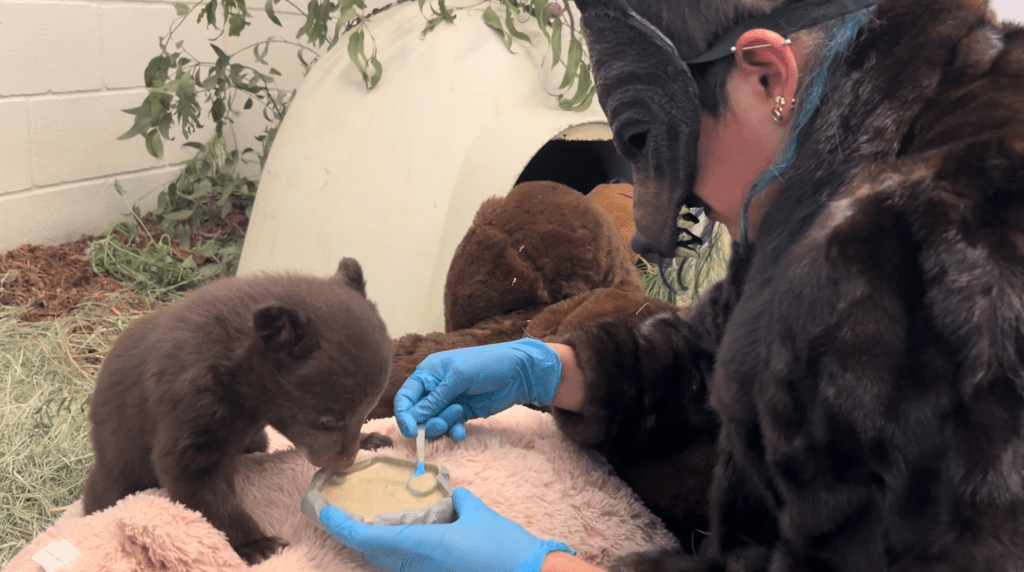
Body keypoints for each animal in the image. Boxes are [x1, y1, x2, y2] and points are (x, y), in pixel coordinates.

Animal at [82, 257, 394, 565]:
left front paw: (372, 439)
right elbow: (193, 474)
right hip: (119, 467)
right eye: (328, 420)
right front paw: (257, 543)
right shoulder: (193, 401)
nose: (345, 463)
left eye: (367, 409)